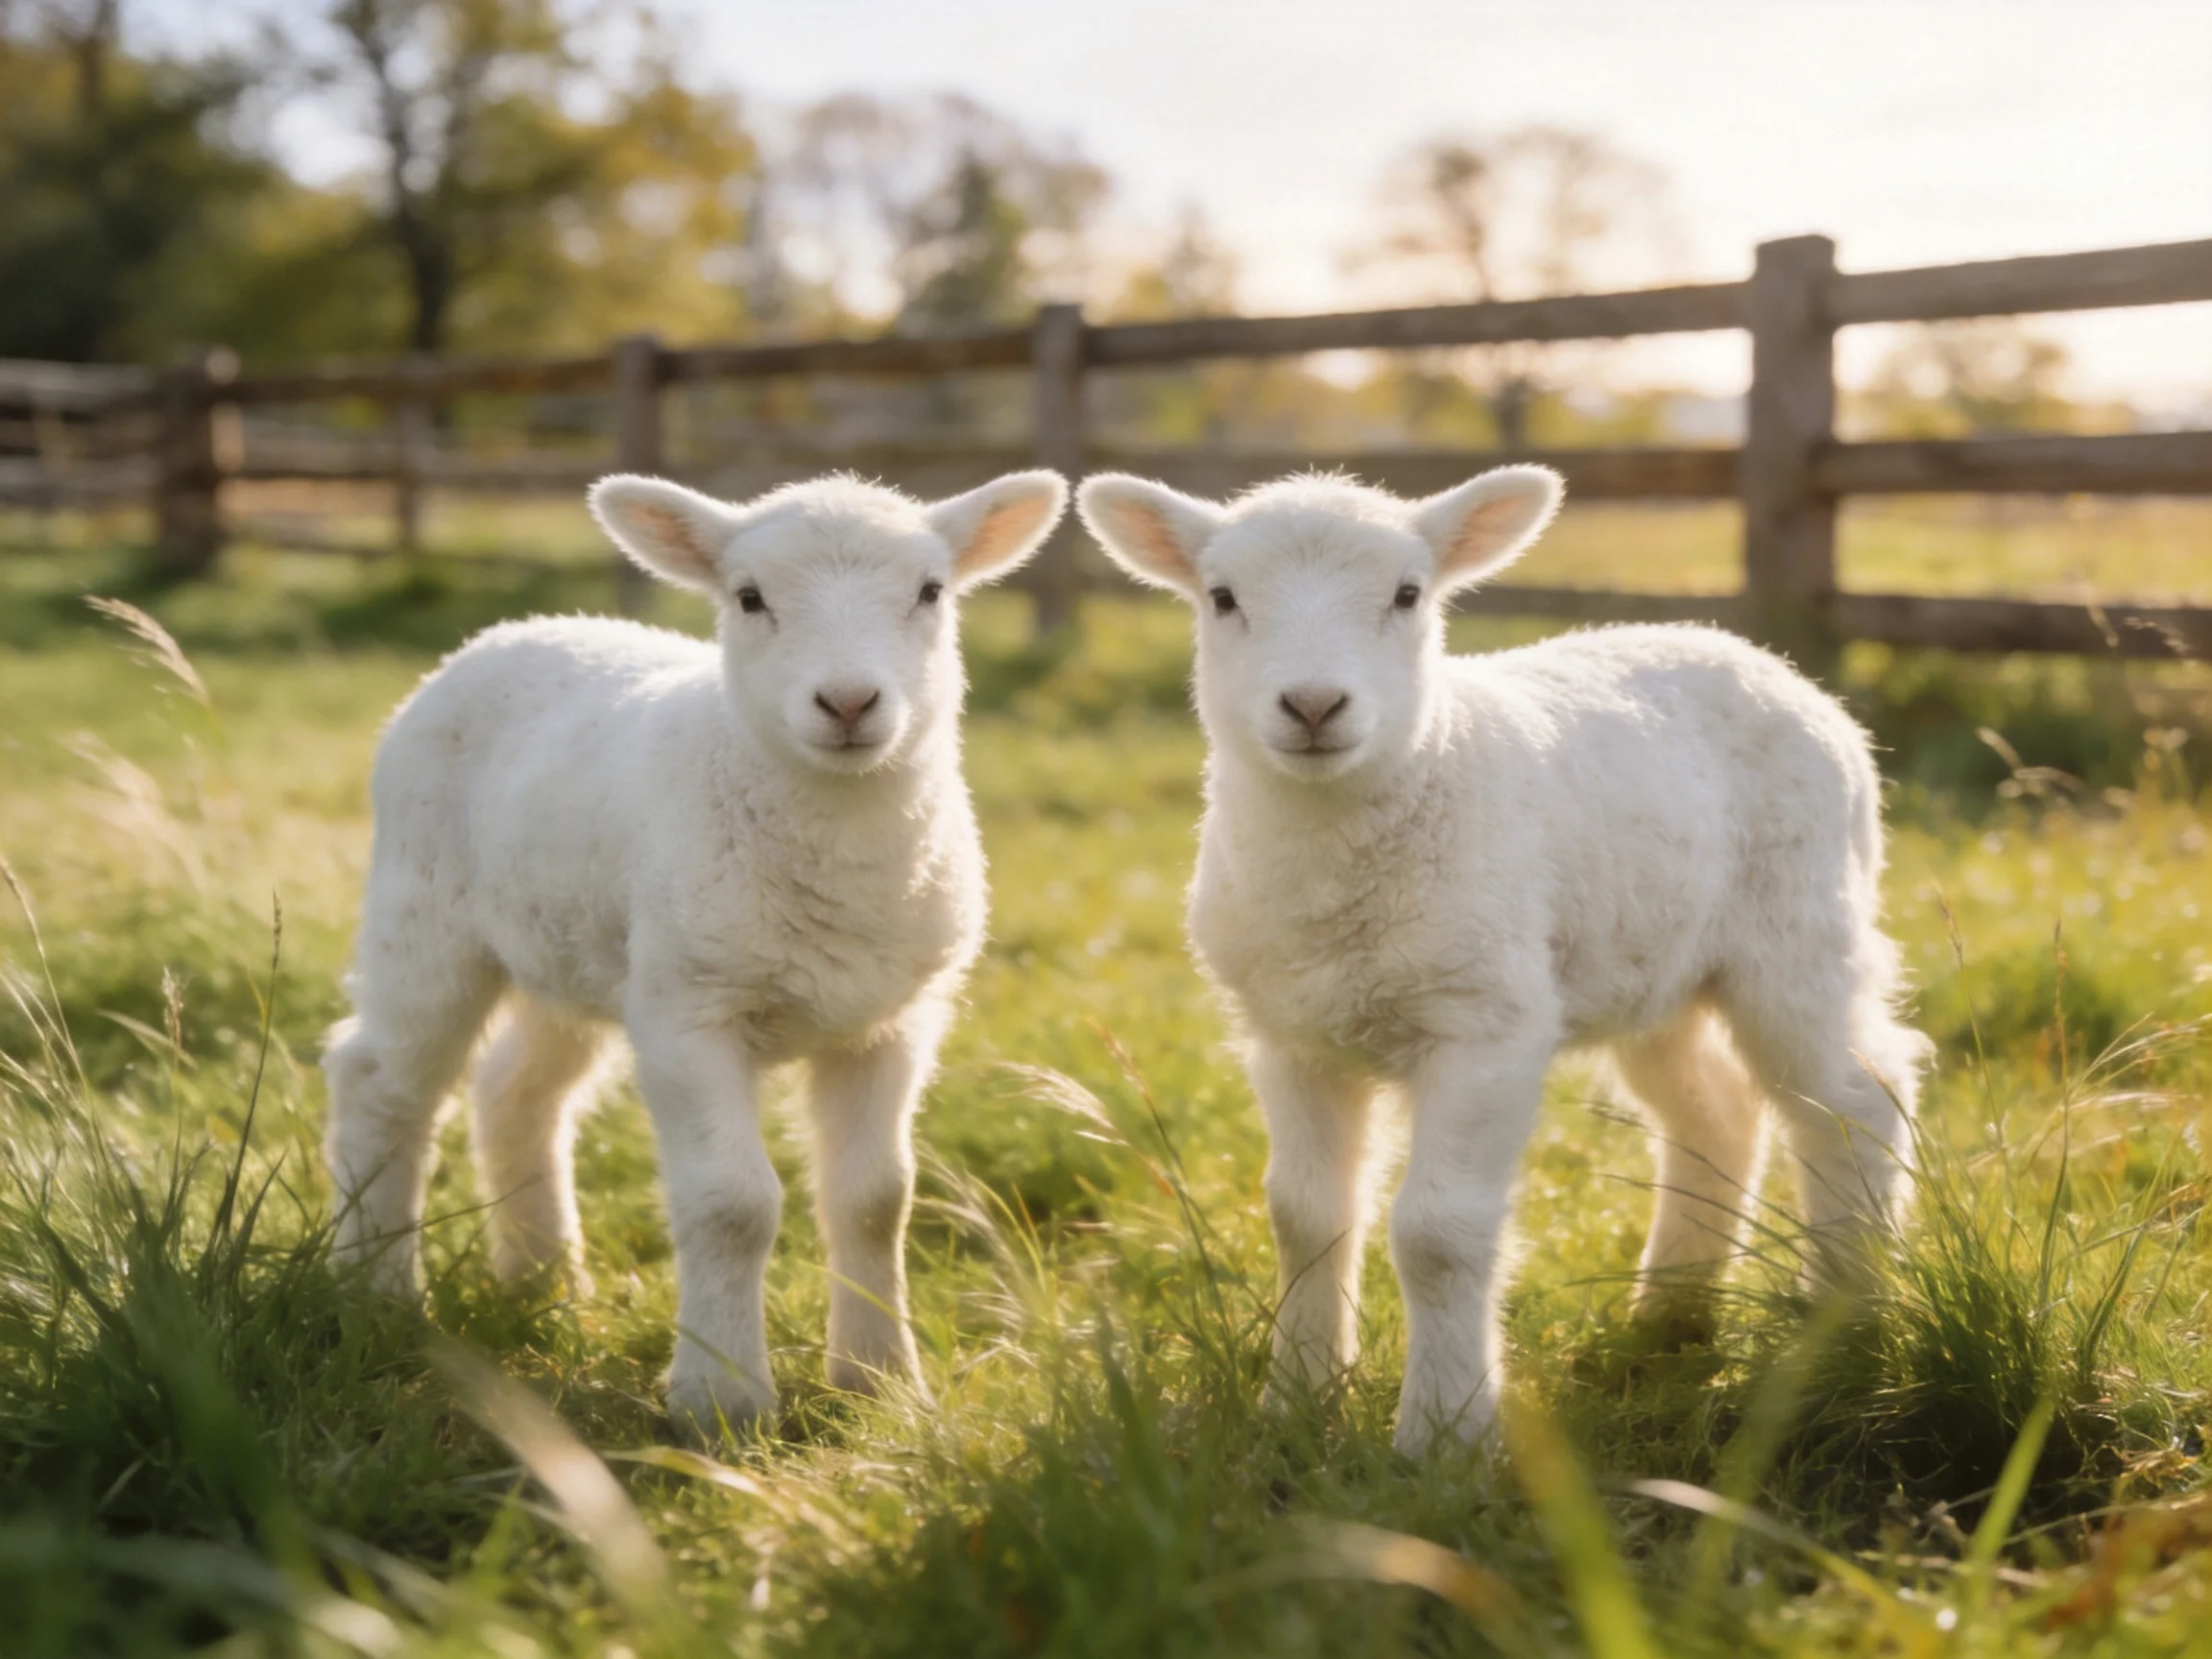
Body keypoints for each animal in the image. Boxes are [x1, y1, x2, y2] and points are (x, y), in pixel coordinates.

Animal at [323, 468, 1068, 1438]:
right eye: (749, 598)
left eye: (930, 592)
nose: (848, 704)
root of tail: (513, 628)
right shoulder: (689, 1012)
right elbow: (732, 1205)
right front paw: (720, 1401)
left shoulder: (891, 1022)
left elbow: (877, 1199)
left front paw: (881, 1383)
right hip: (428, 914)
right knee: (379, 1083)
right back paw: (371, 1290)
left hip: (582, 946)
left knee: (515, 1091)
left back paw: (543, 1282)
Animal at [1077, 465, 1929, 1455]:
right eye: (1222, 598)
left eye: (1408, 595)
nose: (1314, 706)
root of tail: (1751, 654)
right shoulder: (1291, 1035)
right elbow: (1304, 1214)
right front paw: (1295, 1404)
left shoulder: (1485, 1024)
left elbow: (1437, 1234)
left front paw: (1443, 1437)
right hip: (1648, 963)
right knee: (1715, 1112)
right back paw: (1671, 1314)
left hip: (1797, 931)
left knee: (1856, 1100)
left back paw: (1846, 1320)